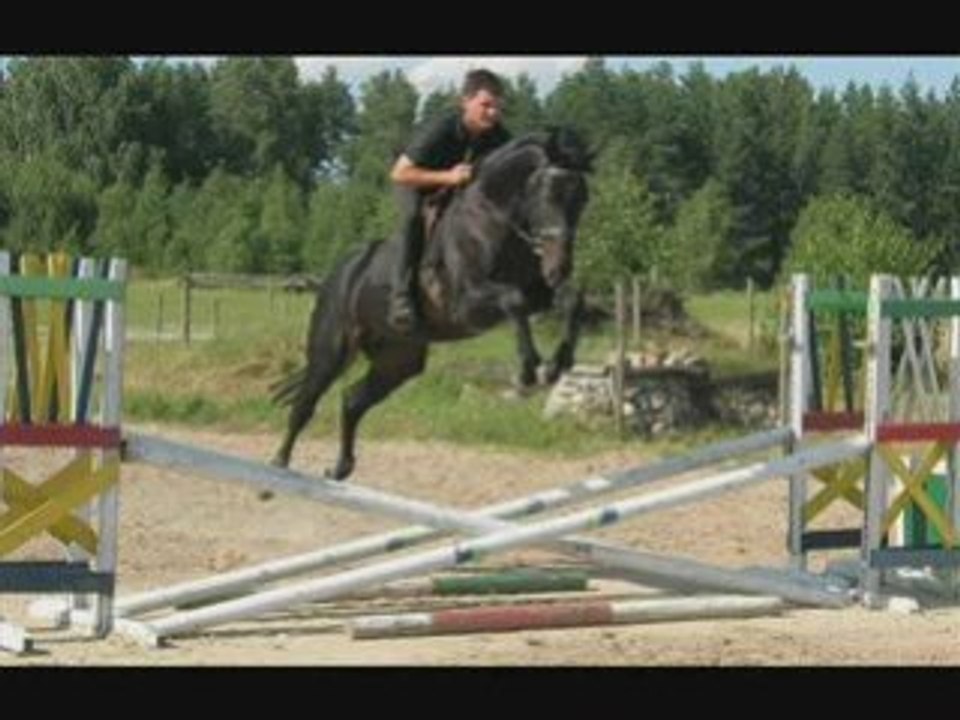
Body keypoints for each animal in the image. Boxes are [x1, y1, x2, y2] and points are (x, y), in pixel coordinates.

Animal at [270, 126, 593, 481]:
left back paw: (341, 467)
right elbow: (514, 301)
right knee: (305, 404)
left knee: (352, 399)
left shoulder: (538, 293)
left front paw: (560, 363)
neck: (493, 220)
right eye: (546, 193)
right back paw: (278, 465)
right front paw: (528, 371)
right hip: (331, 350)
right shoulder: (467, 304)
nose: (560, 267)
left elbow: (571, 301)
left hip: (398, 360)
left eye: (582, 198)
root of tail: (337, 273)